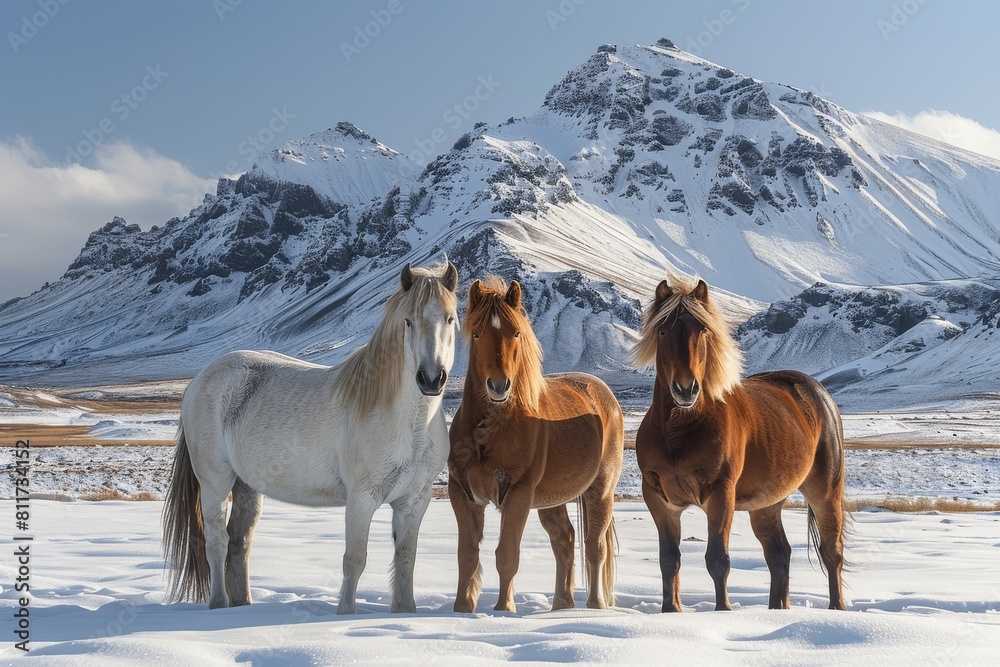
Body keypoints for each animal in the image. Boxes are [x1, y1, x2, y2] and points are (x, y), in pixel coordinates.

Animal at [162, 260, 459, 613]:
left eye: (450, 318)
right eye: (408, 321)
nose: (431, 379)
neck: (411, 425)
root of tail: (198, 381)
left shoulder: (414, 501)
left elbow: (406, 560)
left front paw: (406, 612)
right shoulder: (361, 499)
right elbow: (354, 560)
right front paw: (345, 614)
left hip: (247, 486)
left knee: (239, 542)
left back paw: (243, 605)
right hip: (216, 484)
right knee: (217, 541)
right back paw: (219, 606)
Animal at [448, 276, 624, 613]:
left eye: (516, 332)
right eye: (476, 333)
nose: (498, 386)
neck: (490, 429)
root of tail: (604, 395)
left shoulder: (517, 494)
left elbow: (506, 555)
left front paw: (504, 610)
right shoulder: (463, 494)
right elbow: (466, 556)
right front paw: (462, 611)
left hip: (600, 491)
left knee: (594, 548)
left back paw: (595, 605)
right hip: (552, 499)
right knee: (564, 541)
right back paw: (560, 606)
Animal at [632, 274, 846, 612]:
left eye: (703, 329)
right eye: (662, 331)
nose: (685, 389)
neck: (678, 432)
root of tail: (819, 393)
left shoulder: (721, 494)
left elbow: (717, 560)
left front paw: (723, 611)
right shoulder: (659, 499)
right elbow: (669, 560)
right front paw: (670, 611)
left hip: (824, 492)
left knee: (831, 552)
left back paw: (836, 609)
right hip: (767, 505)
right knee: (779, 555)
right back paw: (776, 609)